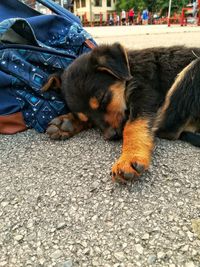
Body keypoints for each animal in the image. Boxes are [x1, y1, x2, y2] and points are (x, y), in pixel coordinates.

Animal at [42, 43, 200, 182]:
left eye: (103, 99)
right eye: (87, 119)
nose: (111, 136)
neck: (131, 68)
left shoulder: (145, 93)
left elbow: (133, 126)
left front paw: (129, 158)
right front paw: (66, 123)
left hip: (194, 68)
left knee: (168, 130)